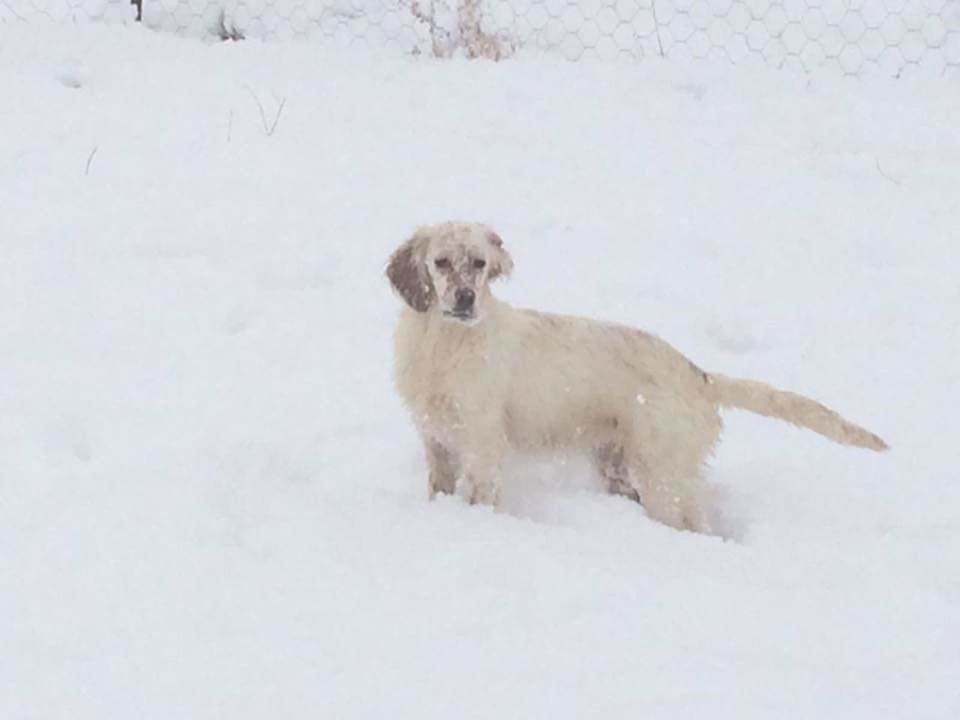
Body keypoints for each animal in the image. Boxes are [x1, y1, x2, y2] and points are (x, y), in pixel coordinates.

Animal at [384, 222, 884, 532]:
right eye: (441, 262)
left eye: (480, 264)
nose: (466, 299)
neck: (445, 342)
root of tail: (698, 376)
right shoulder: (437, 440)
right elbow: (438, 485)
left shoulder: (482, 443)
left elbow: (479, 495)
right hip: (620, 465)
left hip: (661, 473)